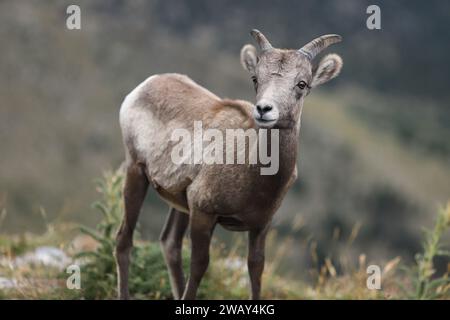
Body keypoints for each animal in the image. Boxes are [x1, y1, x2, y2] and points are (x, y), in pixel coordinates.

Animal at [115, 28, 342, 298]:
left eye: (302, 84)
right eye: (255, 78)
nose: (264, 110)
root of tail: (148, 84)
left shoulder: (260, 226)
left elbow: (256, 270)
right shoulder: (204, 214)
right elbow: (199, 266)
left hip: (180, 203)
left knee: (170, 244)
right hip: (136, 172)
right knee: (124, 241)